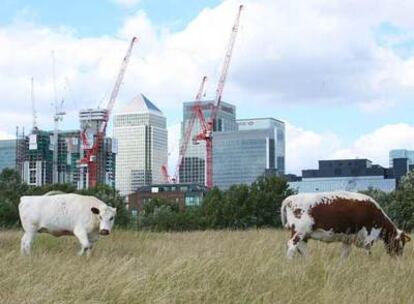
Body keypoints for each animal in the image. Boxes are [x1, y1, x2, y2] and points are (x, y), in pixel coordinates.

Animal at [282, 191, 410, 258]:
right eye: (399, 243)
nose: (399, 257)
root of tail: (291, 198)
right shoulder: (369, 237)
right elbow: (368, 253)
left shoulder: (348, 239)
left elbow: (344, 255)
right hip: (299, 232)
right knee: (291, 246)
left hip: (304, 235)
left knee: (302, 248)